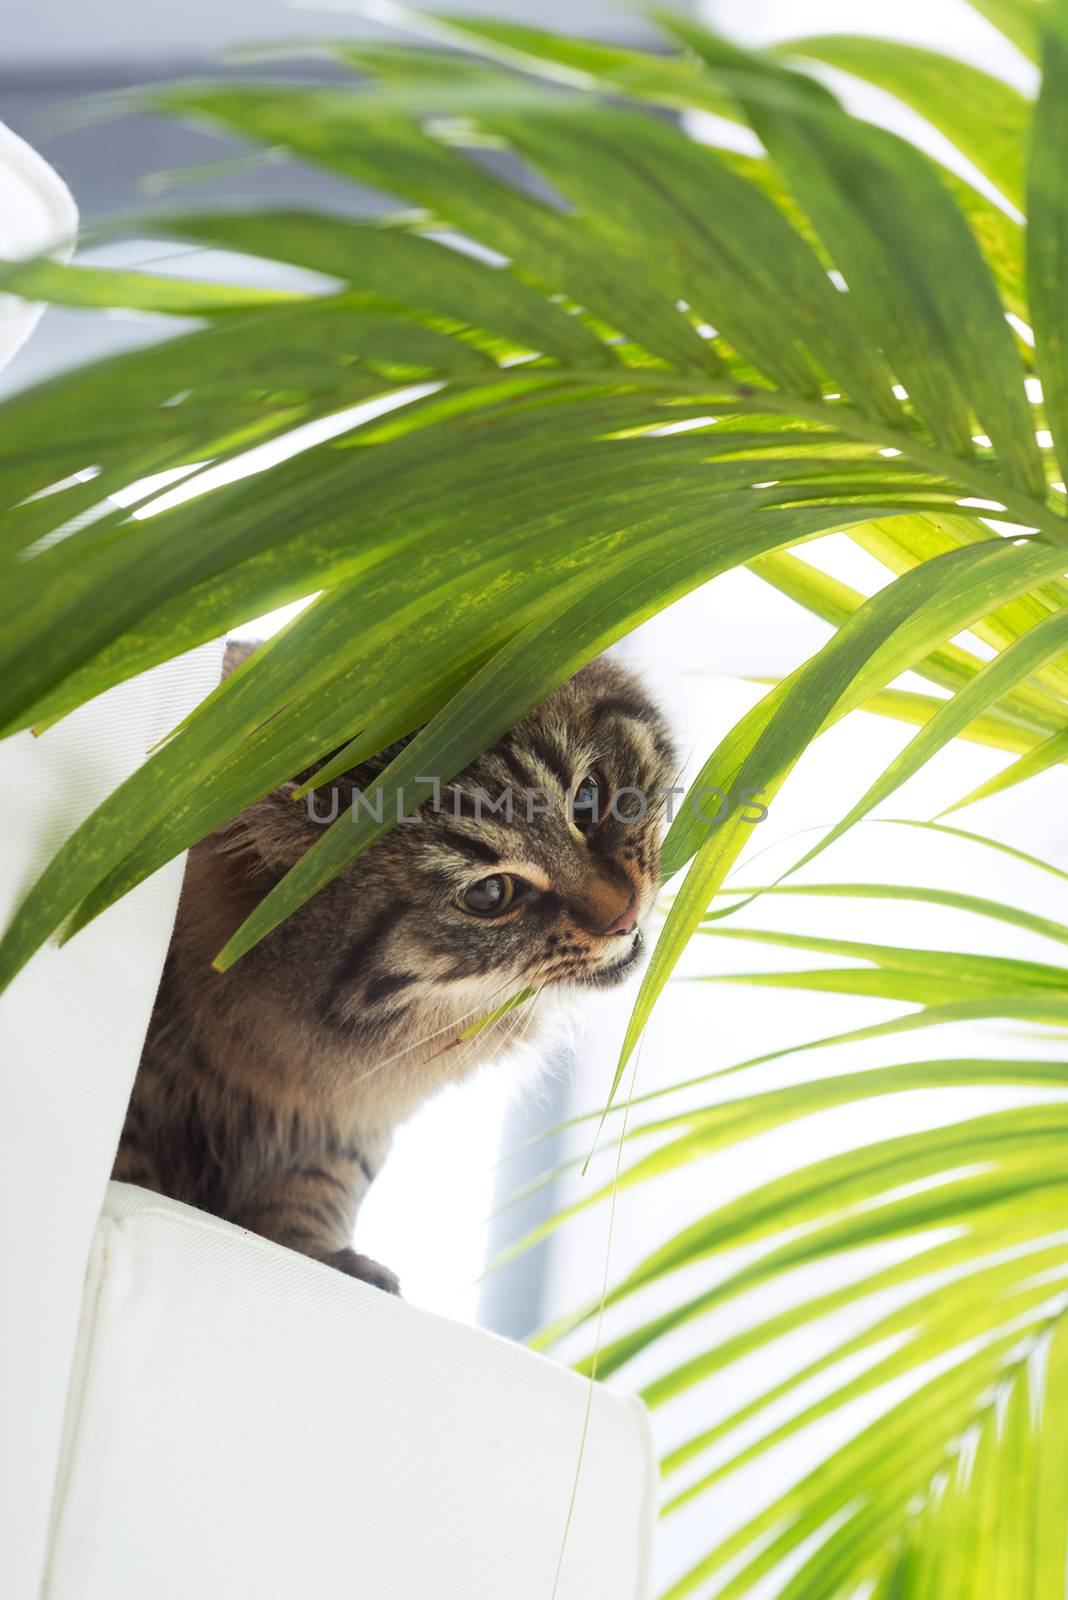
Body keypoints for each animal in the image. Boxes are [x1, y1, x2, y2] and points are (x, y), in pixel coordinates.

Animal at [115, 646, 674, 1286]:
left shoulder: (343, 1121)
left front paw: (320, 1253)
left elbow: (319, 1185)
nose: (624, 915)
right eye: (489, 895)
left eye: (586, 798)